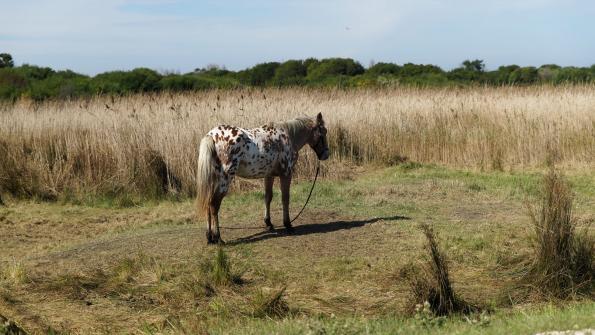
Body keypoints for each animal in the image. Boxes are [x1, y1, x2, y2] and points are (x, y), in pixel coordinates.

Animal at [197, 113, 330, 244]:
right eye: (323, 132)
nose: (326, 155)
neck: (288, 136)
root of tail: (212, 135)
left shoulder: (269, 175)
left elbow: (268, 197)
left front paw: (268, 223)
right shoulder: (286, 174)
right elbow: (285, 199)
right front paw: (288, 225)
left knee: (208, 203)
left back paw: (209, 237)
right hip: (224, 180)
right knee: (214, 205)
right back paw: (218, 238)